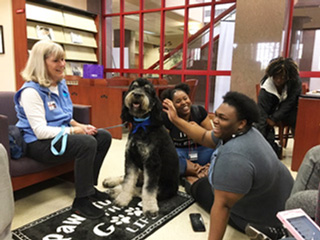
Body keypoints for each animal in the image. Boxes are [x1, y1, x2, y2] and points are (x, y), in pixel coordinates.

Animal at [104, 78, 181, 217]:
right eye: (134, 87)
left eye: (147, 90)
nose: (137, 94)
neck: (142, 125)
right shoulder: (131, 158)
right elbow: (128, 181)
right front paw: (123, 198)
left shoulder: (152, 162)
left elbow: (148, 189)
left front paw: (150, 207)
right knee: (127, 180)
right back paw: (111, 183)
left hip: (163, 188)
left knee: (140, 189)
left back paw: (115, 190)